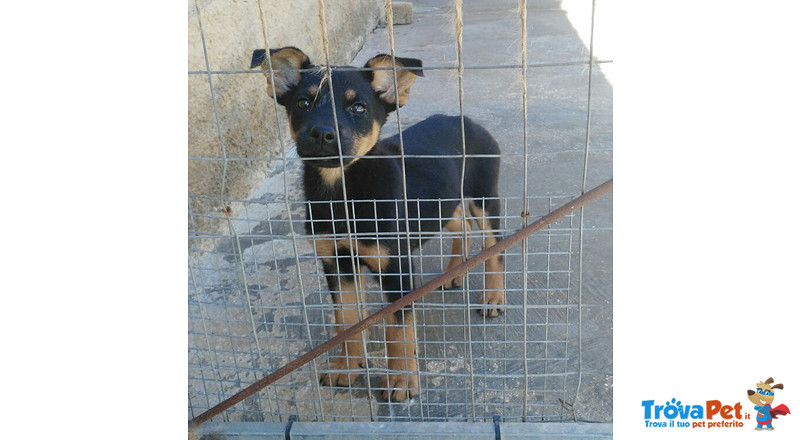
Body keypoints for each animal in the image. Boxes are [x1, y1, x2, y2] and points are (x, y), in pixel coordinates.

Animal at [250, 47, 504, 402]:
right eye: (303, 103)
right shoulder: (336, 262)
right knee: (462, 228)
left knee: (495, 247)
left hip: (484, 196)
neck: (341, 192)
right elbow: (346, 319)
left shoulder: (396, 266)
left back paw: (494, 297)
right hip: (442, 204)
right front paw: (347, 366)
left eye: (358, 107)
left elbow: (398, 328)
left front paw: (401, 380)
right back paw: (454, 272)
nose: (322, 134)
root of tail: (466, 120)